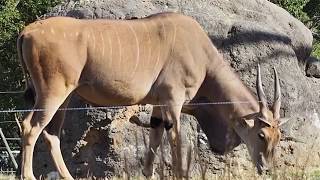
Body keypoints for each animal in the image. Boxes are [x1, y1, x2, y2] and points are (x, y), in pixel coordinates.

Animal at [17, 12, 284, 179]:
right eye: (261, 135)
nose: (266, 168)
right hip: (52, 92)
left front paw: (148, 173)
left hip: (65, 97)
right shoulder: (173, 100)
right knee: (30, 126)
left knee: (51, 134)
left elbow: (154, 139)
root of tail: (27, 31)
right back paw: (28, 175)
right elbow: (175, 140)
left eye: (278, 137)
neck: (204, 58)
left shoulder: (158, 105)